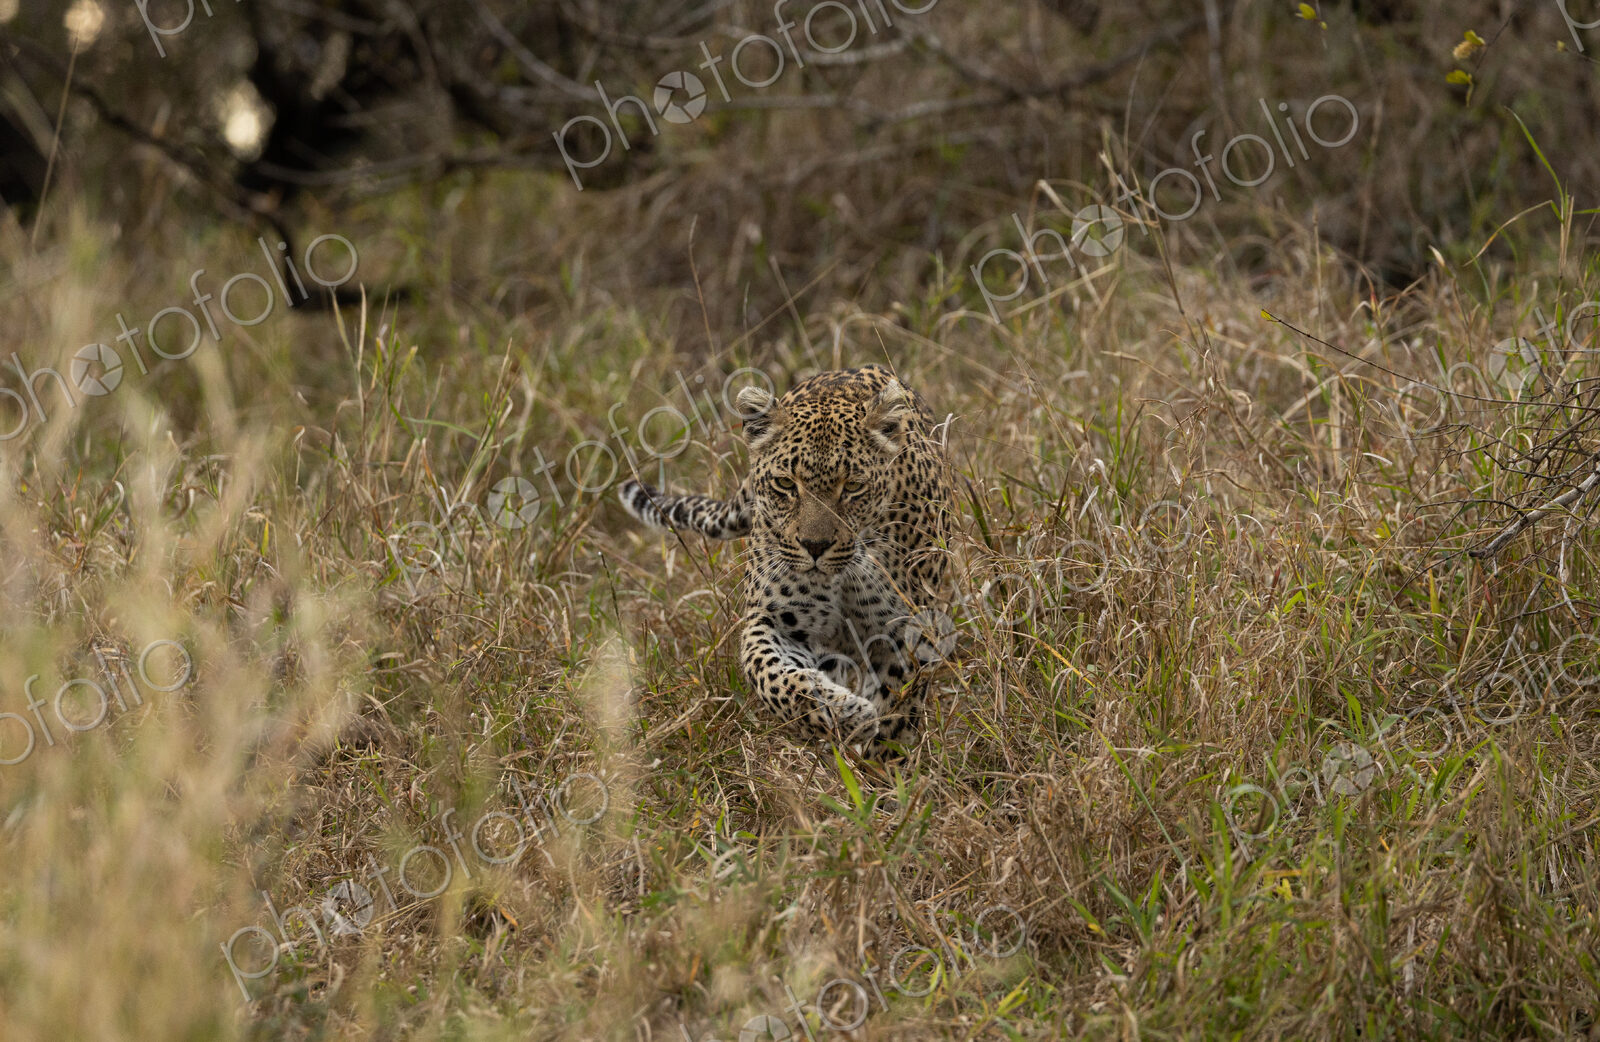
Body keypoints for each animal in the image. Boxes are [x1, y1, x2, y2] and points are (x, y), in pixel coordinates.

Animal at [618, 365, 954, 755]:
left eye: (853, 487)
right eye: (785, 484)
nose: (815, 546)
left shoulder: (905, 630)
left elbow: (895, 710)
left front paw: (883, 762)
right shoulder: (777, 620)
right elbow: (773, 675)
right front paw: (841, 715)